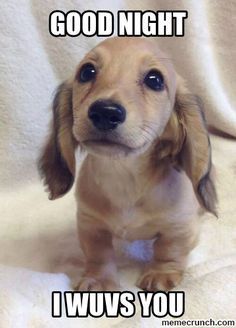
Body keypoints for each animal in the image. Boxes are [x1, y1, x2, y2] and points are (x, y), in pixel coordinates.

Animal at [38, 37, 218, 290]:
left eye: (155, 79)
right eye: (86, 72)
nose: (105, 112)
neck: (124, 175)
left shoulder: (179, 226)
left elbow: (169, 250)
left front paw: (161, 273)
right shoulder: (90, 225)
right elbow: (99, 255)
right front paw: (99, 280)